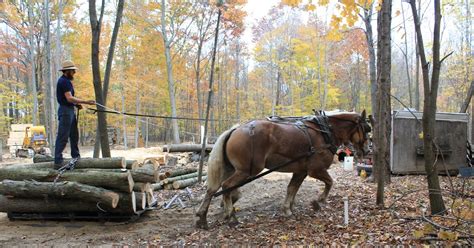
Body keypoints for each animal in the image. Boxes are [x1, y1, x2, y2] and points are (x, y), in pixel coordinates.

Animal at [194, 109, 372, 230]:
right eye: (366, 129)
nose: (366, 150)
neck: (325, 132)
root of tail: (235, 129)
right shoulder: (316, 169)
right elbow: (330, 182)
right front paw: (318, 201)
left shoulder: (301, 171)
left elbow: (292, 188)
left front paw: (288, 209)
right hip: (247, 171)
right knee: (226, 186)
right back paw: (230, 216)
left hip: (231, 169)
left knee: (213, 189)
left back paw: (202, 218)